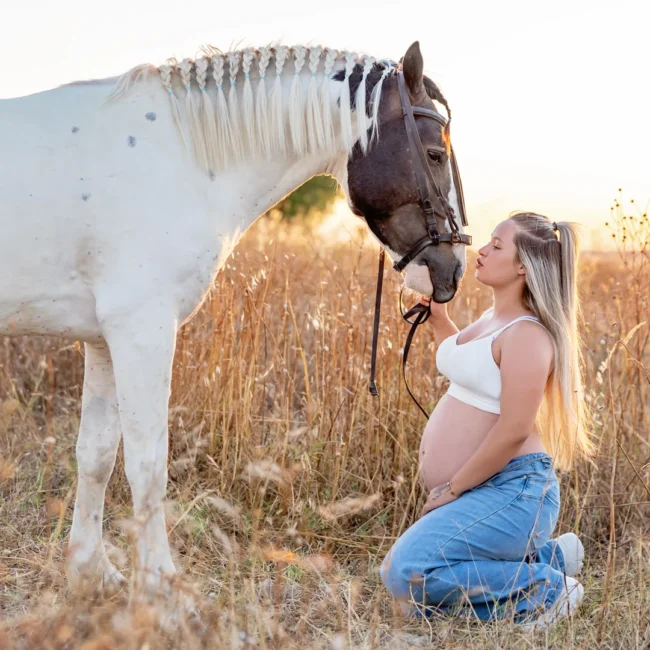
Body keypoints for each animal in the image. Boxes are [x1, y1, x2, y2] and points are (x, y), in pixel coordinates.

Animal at [0, 39, 469, 592]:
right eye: (435, 154)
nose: (453, 270)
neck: (181, 155)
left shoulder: (103, 339)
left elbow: (95, 455)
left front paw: (91, 571)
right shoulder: (141, 331)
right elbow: (147, 463)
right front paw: (160, 584)